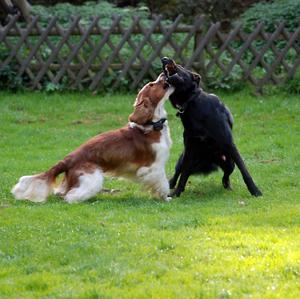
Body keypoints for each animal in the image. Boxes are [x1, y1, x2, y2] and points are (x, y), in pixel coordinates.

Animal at [11, 74, 175, 204]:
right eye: (152, 84)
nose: (163, 74)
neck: (153, 125)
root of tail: (68, 159)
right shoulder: (154, 167)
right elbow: (163, 183)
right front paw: (166, 198)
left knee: (62, 192)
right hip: (92, 177)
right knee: (69, 197)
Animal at [161, 57, 262, 198]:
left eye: (180, 66)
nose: (164, 58)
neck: (192, 102)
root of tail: (208, 161)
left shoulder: (229, 145)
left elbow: (244, 171)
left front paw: (255, 191)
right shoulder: (189, 151)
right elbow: (183, 176)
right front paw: (176, 192)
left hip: (229, 162)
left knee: (226, 175)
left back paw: (227, 185)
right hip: (183, 158)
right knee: (178, 173)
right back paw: (171, 186)